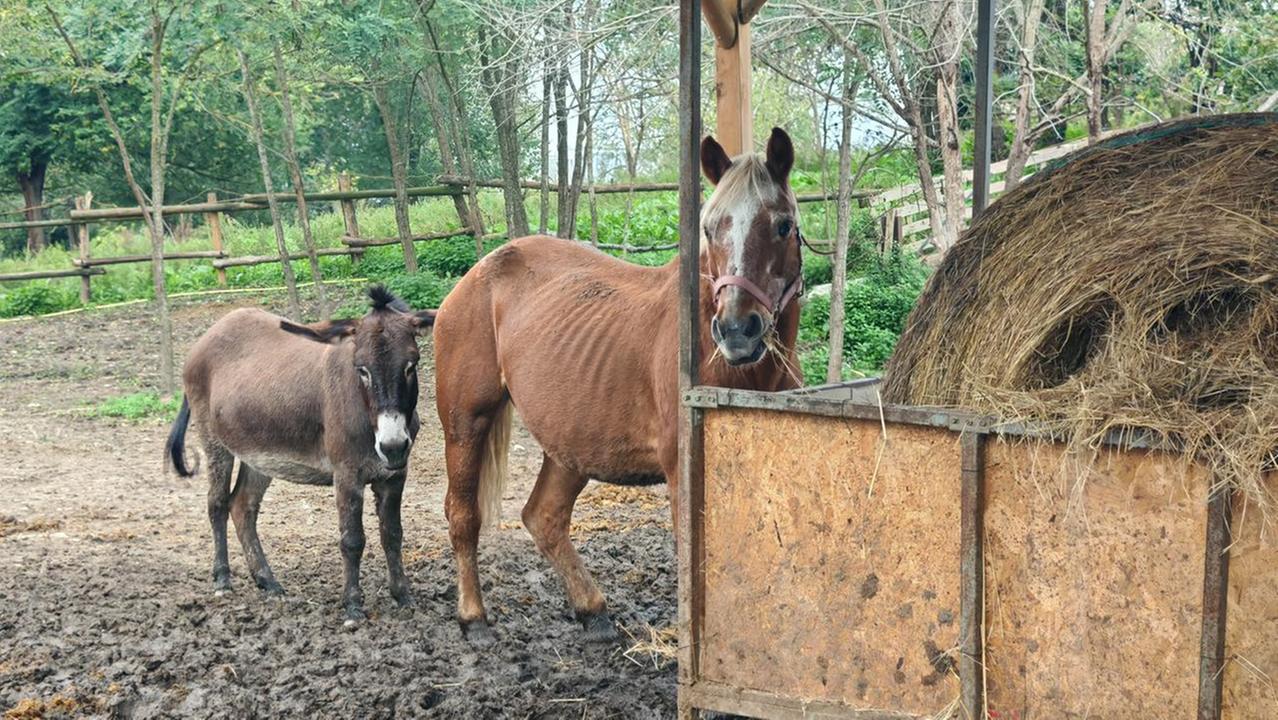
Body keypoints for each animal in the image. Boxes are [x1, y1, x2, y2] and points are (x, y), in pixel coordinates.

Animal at [166, 286, 435, 623]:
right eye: (362, 370)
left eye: (411, 365)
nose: (393, 446)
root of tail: (212, 331)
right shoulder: (347, 475)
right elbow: (352, 540)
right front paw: (353, 607)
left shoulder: (395, 476)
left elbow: (394, 534)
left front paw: (403, 597)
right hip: (215, 440)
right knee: (216, 504)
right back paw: (223, 580)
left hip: (260, 452)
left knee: (242, 506)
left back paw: (267, 581)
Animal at [432, 127, 804, 643]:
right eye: (710, 229)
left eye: (783, 225)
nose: (735, 331)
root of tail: (477, 273)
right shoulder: (682, 475)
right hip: (466, 424)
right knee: (463, 514)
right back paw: (474, 617)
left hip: (572, 442)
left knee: (543, 516)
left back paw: (593, 610)